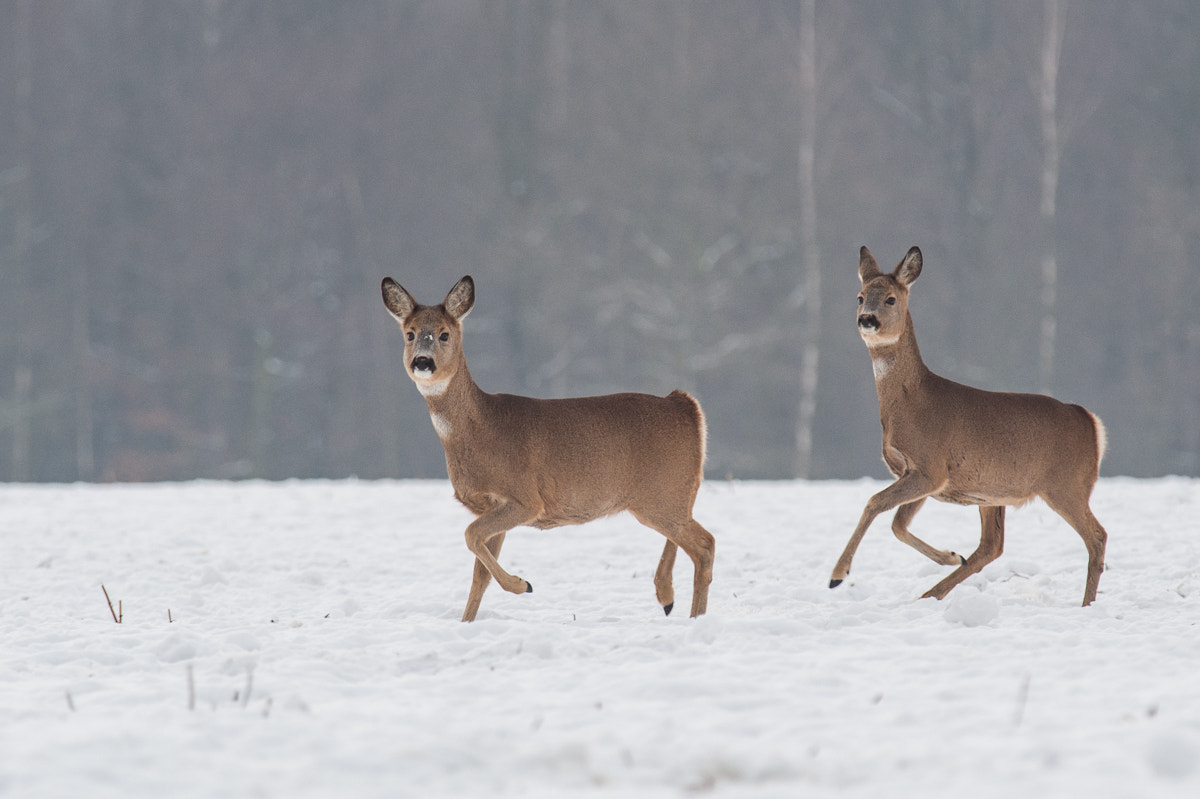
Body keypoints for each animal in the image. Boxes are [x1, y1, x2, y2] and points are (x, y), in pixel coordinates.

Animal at [381, 277, 710, 619]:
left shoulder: (525, 498)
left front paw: (522, 584)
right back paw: (667, 597)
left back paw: (693, 615)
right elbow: (479, 574)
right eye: (410, 334)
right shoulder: (492, 505)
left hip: (663, 494)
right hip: (669, 496)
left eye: (444, 333)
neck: (480, 430)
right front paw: (467, 622)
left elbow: (471, 536)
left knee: (705, 545)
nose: (422, 362)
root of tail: (685, 406)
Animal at [830, 244, 1108, 604]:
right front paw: (950, 555)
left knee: (1097, 536)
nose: (867, 319)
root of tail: (1090, 421)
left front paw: (837, 575)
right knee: (991, 547)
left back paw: (1086, 605)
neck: (909, 404)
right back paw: (931, 593)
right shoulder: (921, 473)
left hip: (1066, 484)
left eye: (890, 298)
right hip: (994, 494)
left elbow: (874, 503)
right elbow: (897, 524)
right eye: (860, 296)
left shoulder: (930, 466)